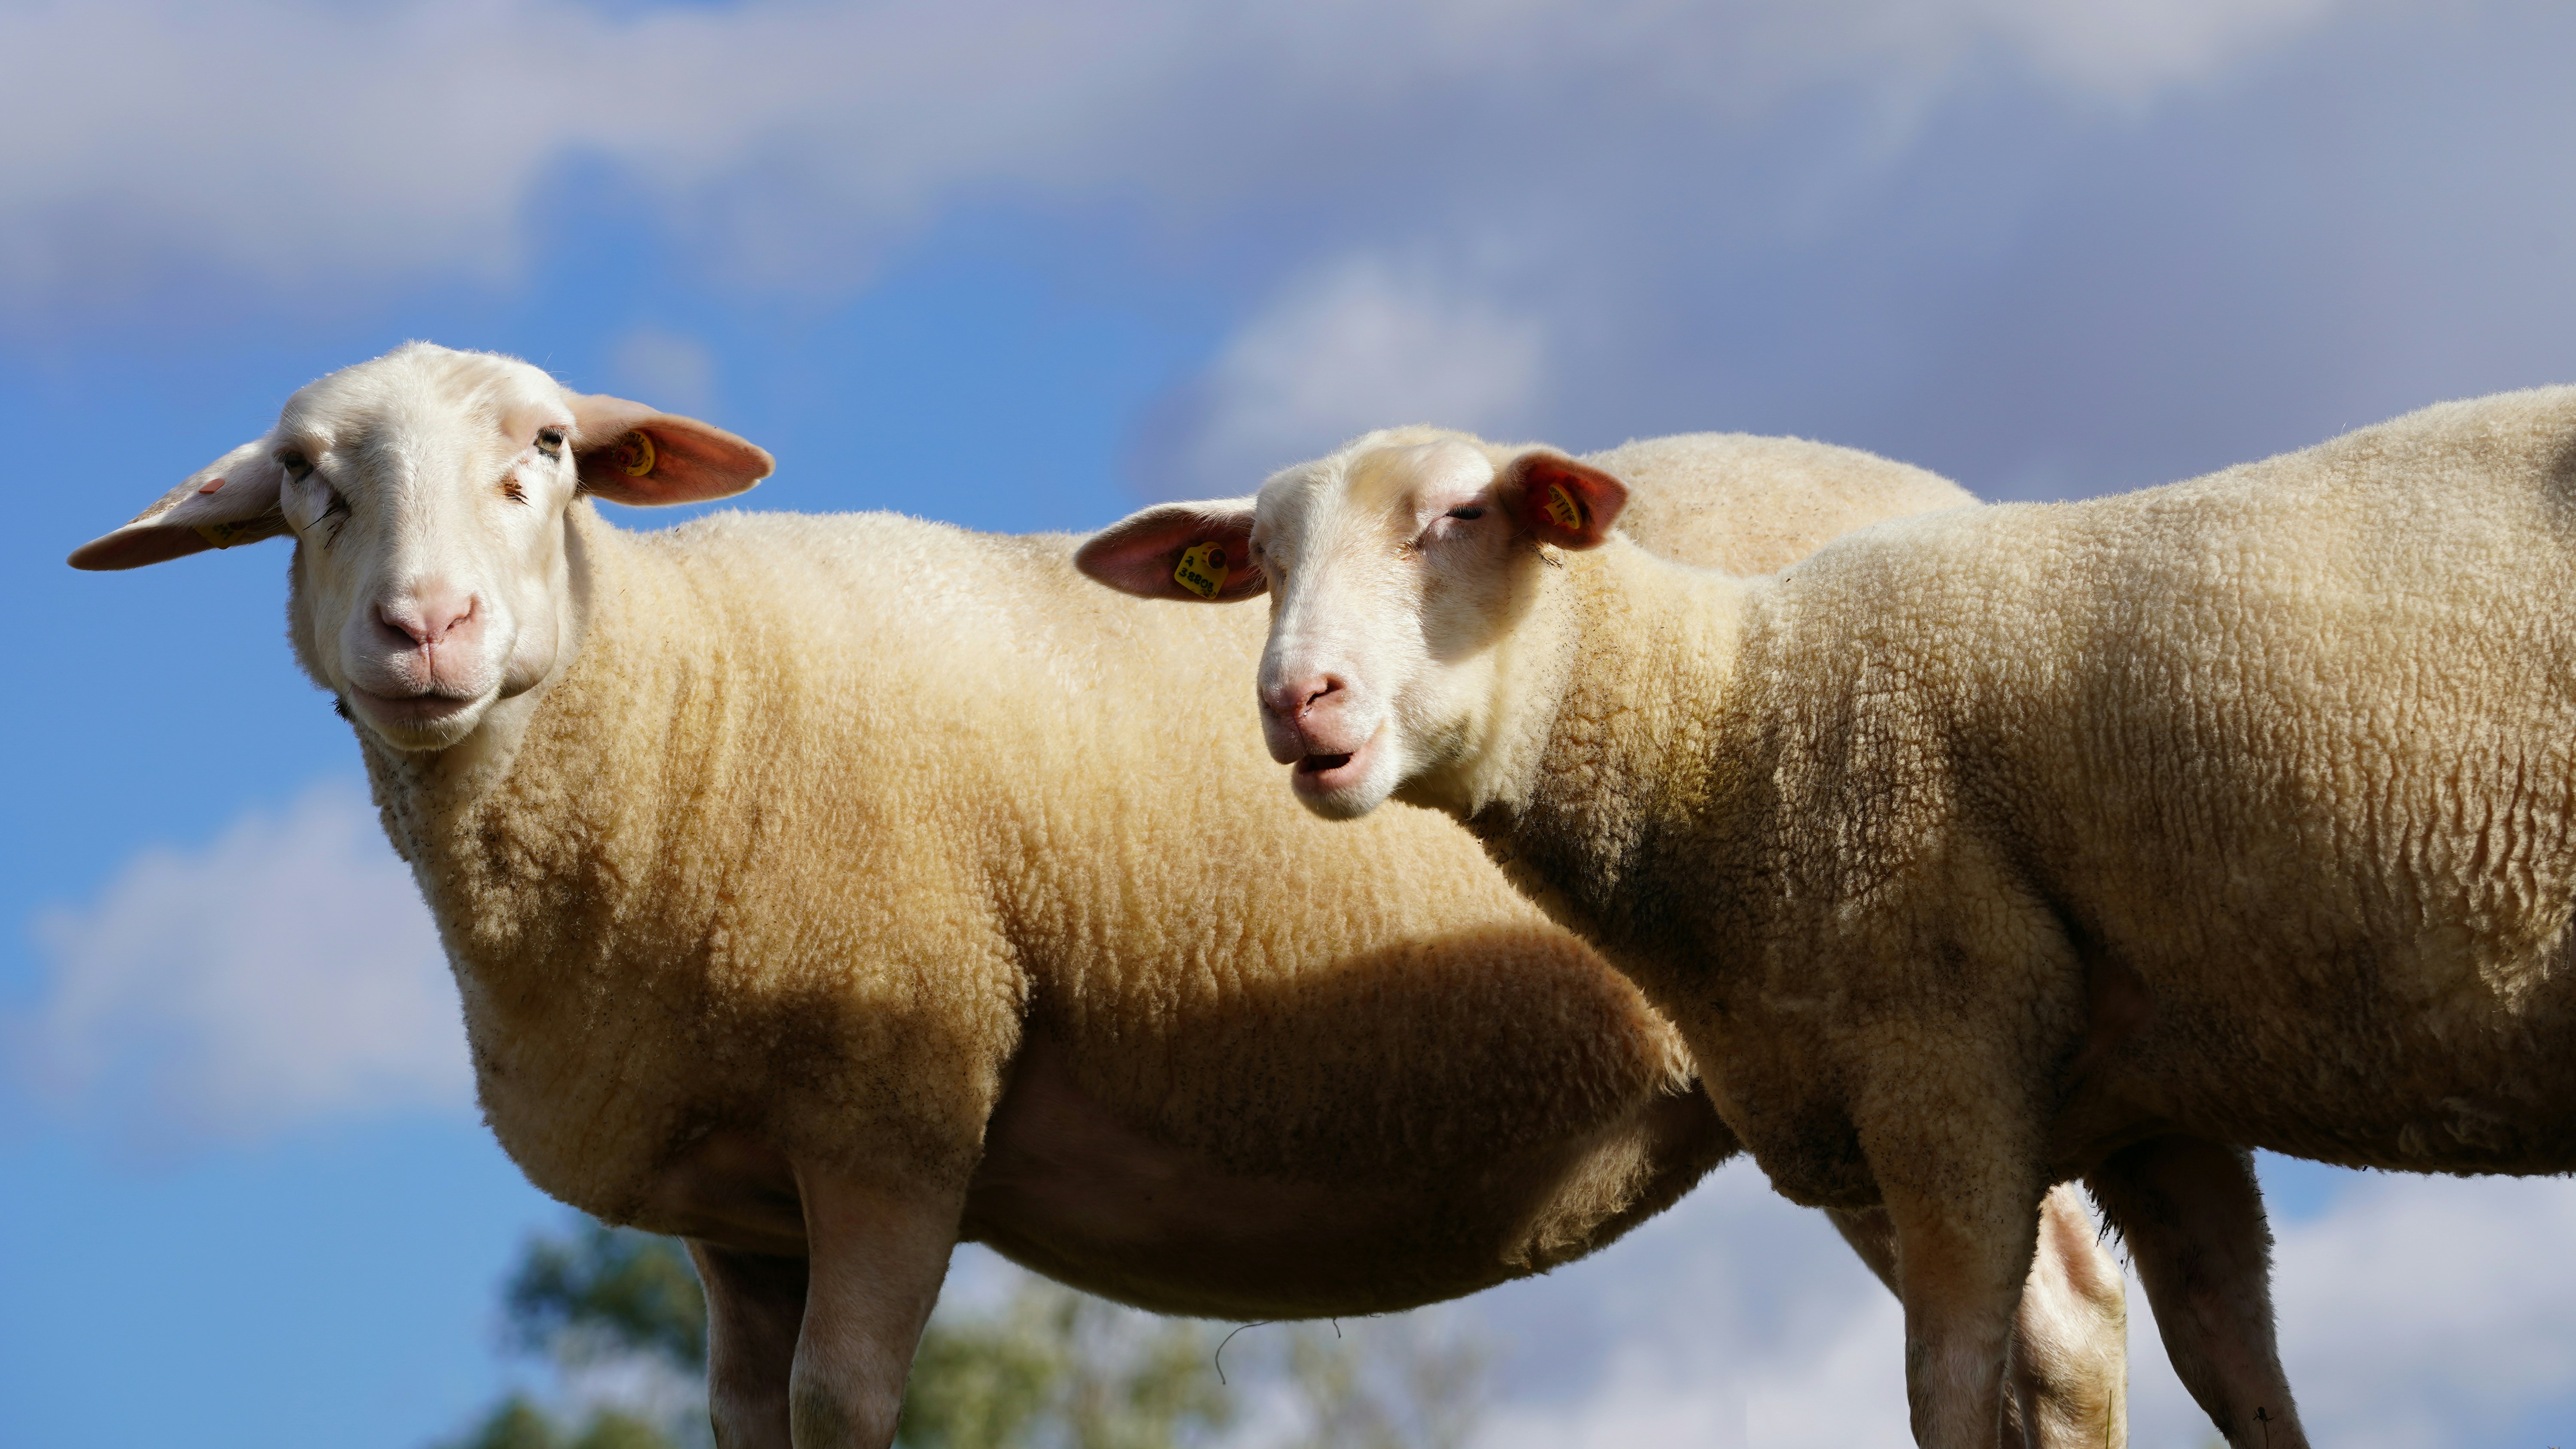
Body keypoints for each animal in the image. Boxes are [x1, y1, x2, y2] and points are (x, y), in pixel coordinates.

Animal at [72, 344, 2132, 1449]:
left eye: (552, 455)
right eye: (308, 480)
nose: (427, 630)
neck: (674, 694)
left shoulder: (895, 1105)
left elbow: (845, 1402)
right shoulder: (733, 1204)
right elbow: (747, 1416)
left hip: (1903, 1029)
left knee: (2053, 1325)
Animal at [1071, 396, 2576, 1449]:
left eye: (1454, 517)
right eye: (1261, 561)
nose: (1295, 699)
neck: (1726, 717)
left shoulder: (1942, 1056)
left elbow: (1951, 1387)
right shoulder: (2157, 1095)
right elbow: (2235, 1363)